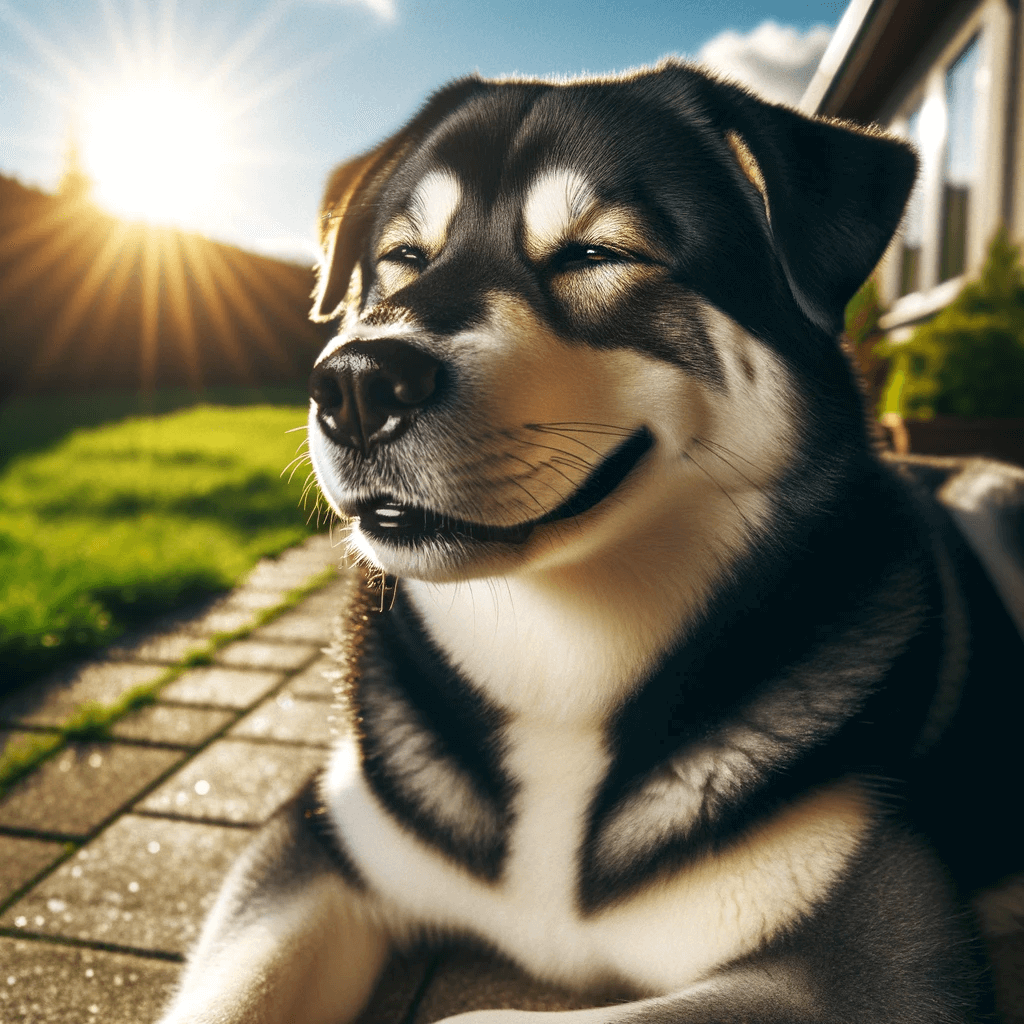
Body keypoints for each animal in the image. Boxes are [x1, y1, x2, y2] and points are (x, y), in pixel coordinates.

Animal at [155, 64, 1024, 1024]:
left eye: (596, 255)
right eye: (404, 258)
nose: (355, 383)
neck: (560, 668)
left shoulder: (887, 968)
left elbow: (476, 1015)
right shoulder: (317, 844)